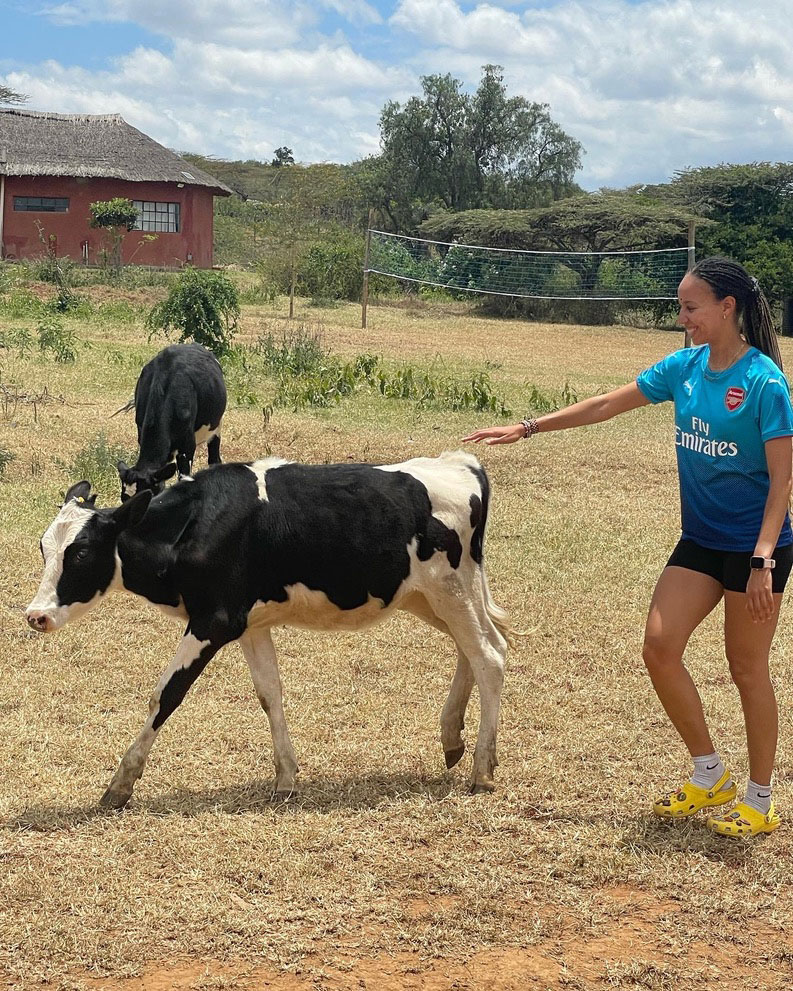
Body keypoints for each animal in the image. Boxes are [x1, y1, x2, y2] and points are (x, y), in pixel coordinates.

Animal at [27, 454, 510, 808]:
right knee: (478, 648)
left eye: (81, 552)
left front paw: (121, 783)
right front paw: (286, 776)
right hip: (430, 598)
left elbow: (166, 694)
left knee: (489, 658)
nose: (36, 615)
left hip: (450, 591)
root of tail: (462, 462)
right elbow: (269, 693)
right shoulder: (249, 625)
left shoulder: (214, 622)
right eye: (44, 547)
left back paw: (482, 770)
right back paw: (451, 737)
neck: (195, 524)